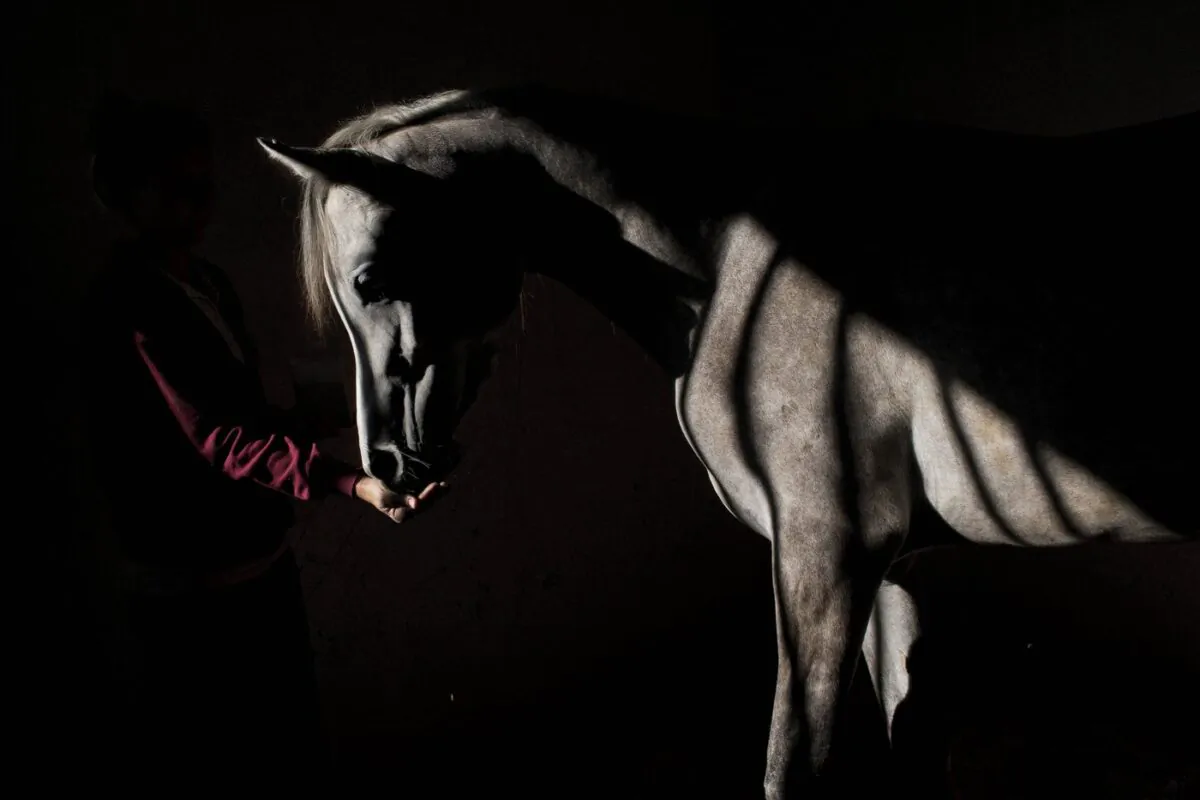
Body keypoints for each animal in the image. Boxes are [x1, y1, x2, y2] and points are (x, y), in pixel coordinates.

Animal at [258, 87, 1197, 797]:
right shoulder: (894, 567)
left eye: (367, 280)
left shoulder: (826, 554)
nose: (386, 465)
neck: (727, 265)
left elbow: (793, 769)